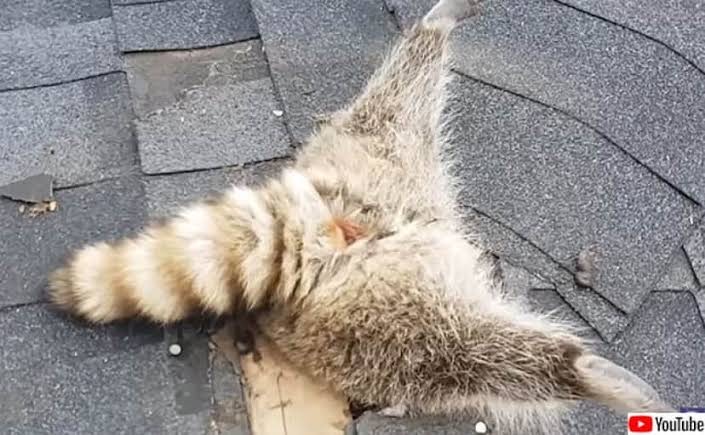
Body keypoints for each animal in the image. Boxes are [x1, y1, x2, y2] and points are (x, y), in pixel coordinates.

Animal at [48, 0, 673, 433]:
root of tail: (319, 225)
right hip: (386, 314)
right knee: (474, 356)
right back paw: (584, 373)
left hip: (378, 161)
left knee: (397, 97)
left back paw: (432, 30)